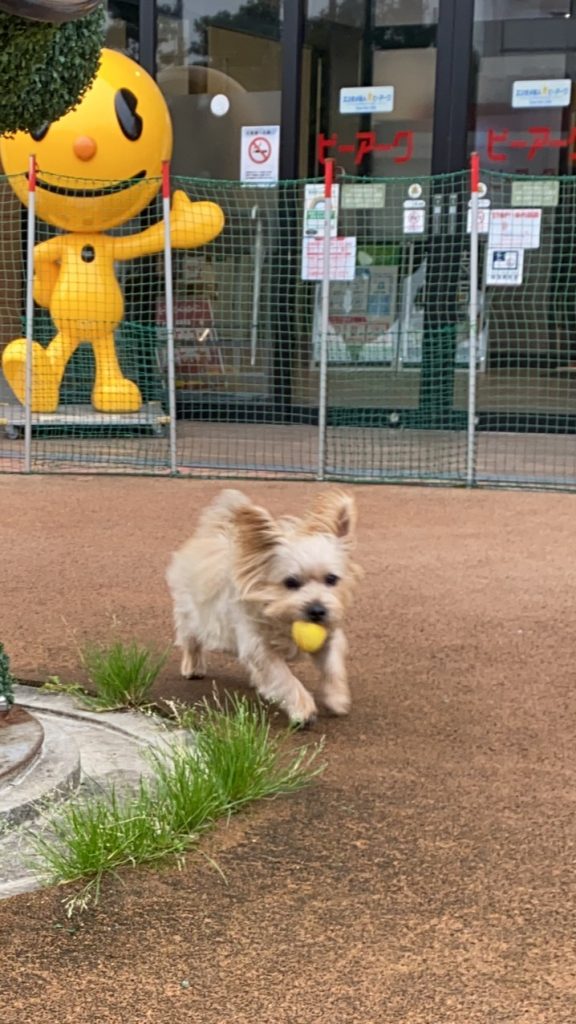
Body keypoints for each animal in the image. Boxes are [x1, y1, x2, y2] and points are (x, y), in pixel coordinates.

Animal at [166, 488, 361, 726]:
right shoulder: (260, 647)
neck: (284, 618)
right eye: (290, 582)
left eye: (332, 579)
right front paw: (303, 709)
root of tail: (212, 532)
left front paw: (337, 698)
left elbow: (333, 665)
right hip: (192, 615)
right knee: (191, 641)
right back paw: (193, 667)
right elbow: (284, 678)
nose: (317, 610)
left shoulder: (329, 636)